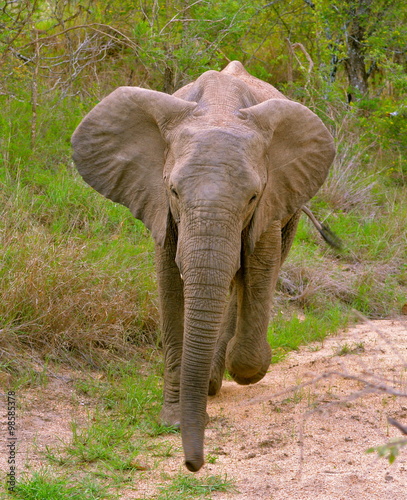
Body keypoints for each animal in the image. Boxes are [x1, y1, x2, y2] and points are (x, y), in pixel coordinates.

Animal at [71, 60, 336, 470]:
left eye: (253, 197)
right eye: (174, 191)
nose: (193, 464)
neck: (219, 109)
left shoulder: (271, 202)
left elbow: (260, 267)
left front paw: (248, 368)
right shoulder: (160, 206)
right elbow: (170, 285)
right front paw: (175, 418)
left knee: (247, 279)